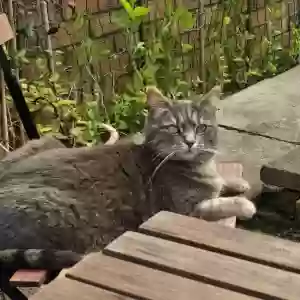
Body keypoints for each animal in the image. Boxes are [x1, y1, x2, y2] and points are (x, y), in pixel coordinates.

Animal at [0, 85, 255, 270]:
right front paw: (244, 204)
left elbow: (221, 181)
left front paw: (234, 182)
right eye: (174, 129)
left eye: (201, 128)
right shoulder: (183, 210)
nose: (190, 142)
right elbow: (219, 203)